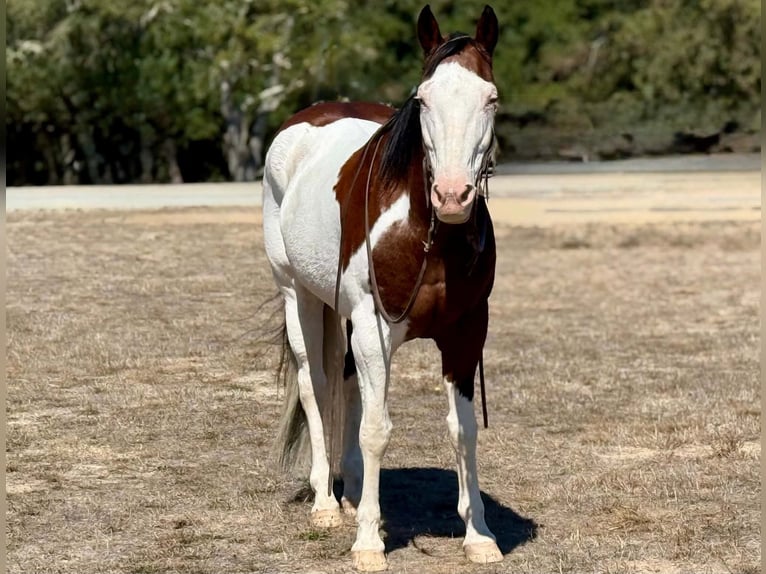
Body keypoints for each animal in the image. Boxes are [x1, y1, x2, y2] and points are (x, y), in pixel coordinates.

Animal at [263, 5, 501, 571]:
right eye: (423, 99)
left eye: (490, 97)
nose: (453, 196)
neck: (427, 236)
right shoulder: (374, 329)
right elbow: (376, 428)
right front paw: (369, 542)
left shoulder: (466, 334)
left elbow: (462, 430)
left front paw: (479, 533)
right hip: (298, 296)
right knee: (316, 384)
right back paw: (327, 505)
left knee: (347, 382)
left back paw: (350, 493)